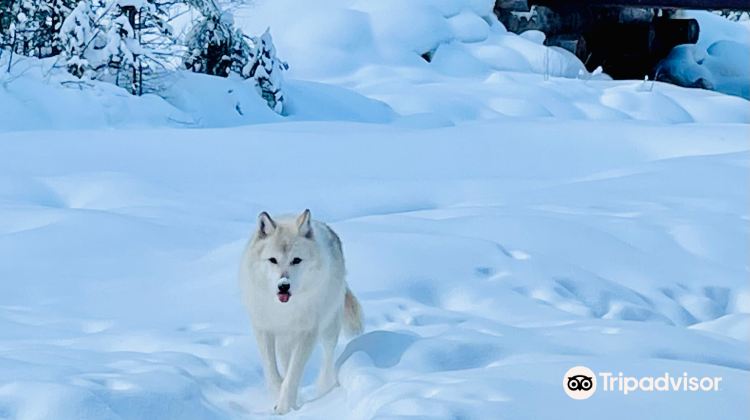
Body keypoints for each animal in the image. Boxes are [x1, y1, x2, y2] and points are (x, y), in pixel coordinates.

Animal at [239, 209, 363, 414]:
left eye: (296, 260)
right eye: (273, 260)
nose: (283, 286)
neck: (284, 309)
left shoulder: (307, 333)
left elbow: (293, 376)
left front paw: (283, 408)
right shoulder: (263, 330)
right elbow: (273, 373)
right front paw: (279, 399)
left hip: (329, 327)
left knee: (327, 358)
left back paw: (324, 387)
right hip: (284, 341)